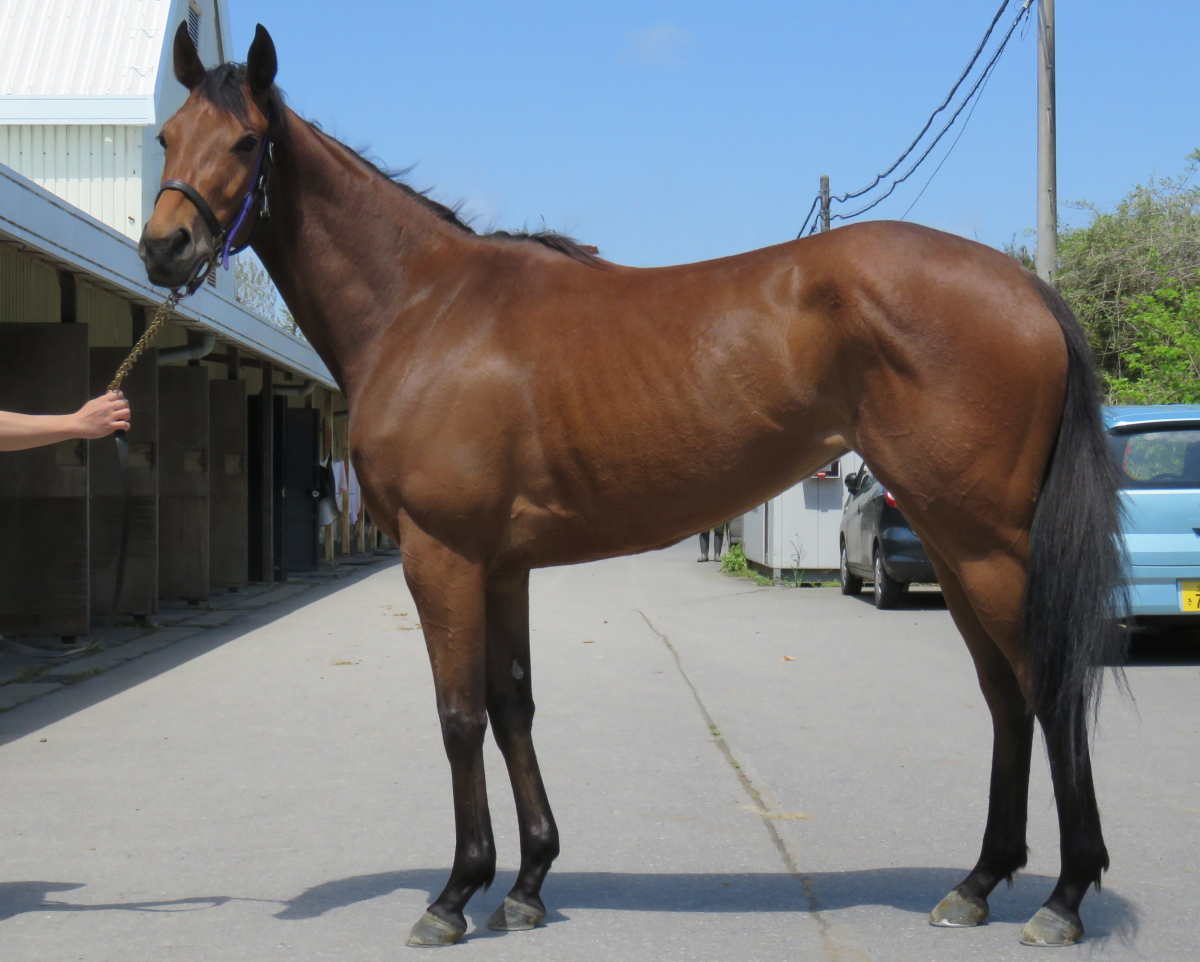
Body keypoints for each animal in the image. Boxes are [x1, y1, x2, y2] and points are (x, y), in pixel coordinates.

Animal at [139, 23, 1127, 949]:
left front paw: (456, 893)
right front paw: (529, 883)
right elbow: (513, 704)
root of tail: (1025, 288)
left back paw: (1064, 898)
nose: (163, 248)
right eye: (167, 136)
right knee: (1005, 699)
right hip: (956, 548)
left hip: (987, 546)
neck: (423, 309)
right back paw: (977, 884)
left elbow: (459, 715)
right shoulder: (502, 567)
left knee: (1047, 691)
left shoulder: (442, 556)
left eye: (245, 140)